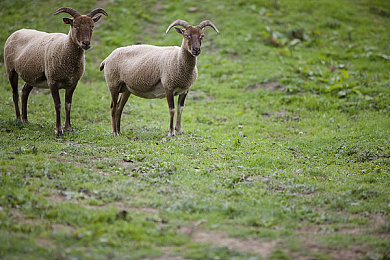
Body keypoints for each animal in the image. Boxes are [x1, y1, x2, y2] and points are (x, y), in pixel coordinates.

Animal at [4, 6, 108, 136]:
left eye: (92, 26)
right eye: (75, 25)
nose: (86, 44)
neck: (64, 48)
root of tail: (16, 32)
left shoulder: (73, 83)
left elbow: (68, 105)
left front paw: (68, 127)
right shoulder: (52, 81)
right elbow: (57, 105)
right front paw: (58, 130)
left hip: (32, 76)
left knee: (24, 92)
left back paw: (25, 120)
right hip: (11, 70)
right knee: (15, 94)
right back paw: (18, 119)